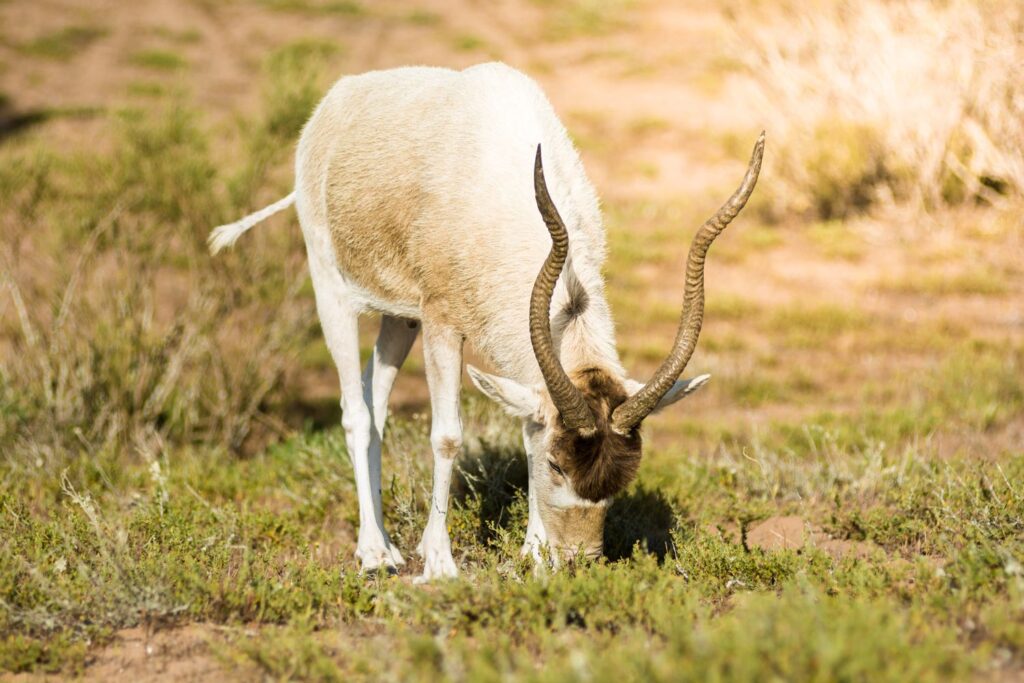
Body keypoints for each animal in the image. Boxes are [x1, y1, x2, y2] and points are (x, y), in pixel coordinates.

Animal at [209, 61, 761, 581]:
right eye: (557, 465)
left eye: (621, 478)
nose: (579, 561)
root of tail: (335, 102)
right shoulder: (441, 321)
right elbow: (447, 436)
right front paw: (440, 562)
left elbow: (523, 428)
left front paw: (534, 554)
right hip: (334, 292)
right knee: (355, 412)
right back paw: (372, 554)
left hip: (399, 320)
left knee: (375, 402)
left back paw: (387, 545)